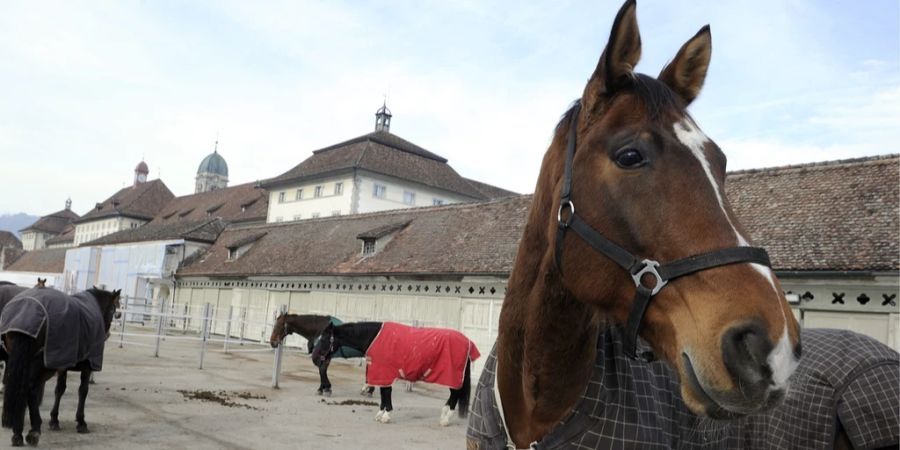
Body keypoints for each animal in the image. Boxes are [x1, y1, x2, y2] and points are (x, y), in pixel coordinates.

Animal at [0, 286, 120, 444]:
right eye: (113, 309)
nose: (107, 335)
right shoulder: (86, 366)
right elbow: (83, 391)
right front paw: (81, 422)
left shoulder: (63, 363)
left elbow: (60, 390)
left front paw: (54, 420)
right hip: (41, 365)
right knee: (30, 388)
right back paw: (34, 430)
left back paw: (18, 433)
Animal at [312, 320, 478, 426]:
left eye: (324, 339)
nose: (314, 357)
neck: (374, 338)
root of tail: (467, 341)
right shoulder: (381, 373)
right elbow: (383, 394)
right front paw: (380, 414)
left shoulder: (384, 372)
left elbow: (386, 393)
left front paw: (386, 416)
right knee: (453, 395)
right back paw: (444, 415)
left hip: (452, 376)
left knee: (455, 394)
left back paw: (445, 419)